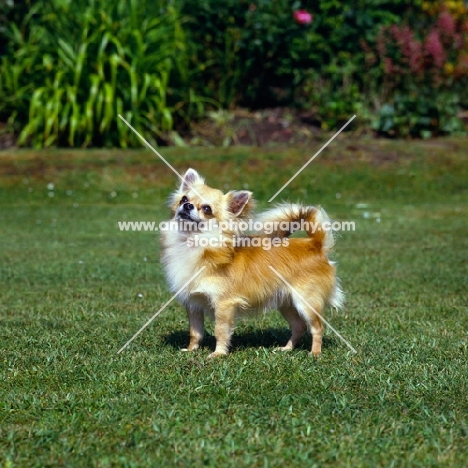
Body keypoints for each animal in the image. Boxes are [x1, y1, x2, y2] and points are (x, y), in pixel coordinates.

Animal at [161, 169, 344, 358]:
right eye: (184, 199)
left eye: (206, 209)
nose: (188, 206)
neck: (192, 243)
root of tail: (314, 243)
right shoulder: (193, 304)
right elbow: (195, 331)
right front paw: (191, 350)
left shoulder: (224, 304)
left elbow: (221, 330)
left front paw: (218, 354)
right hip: (286, 302)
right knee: (299, 326)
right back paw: (286, 348)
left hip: (306, 302)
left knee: (317, 327)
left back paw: (315, 353)